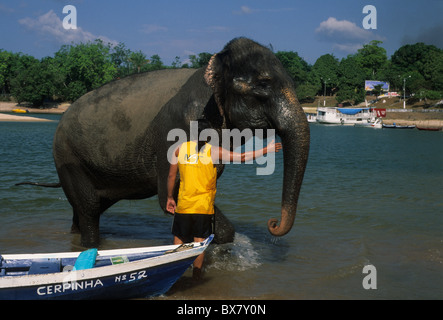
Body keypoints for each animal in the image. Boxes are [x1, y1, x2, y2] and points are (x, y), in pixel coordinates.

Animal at [21, 37, 312, 248]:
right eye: (263, 84)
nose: (272, 223)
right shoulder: (175, 130)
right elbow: (170, 194)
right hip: (67, 156)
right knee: (90, 209)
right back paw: (91, 246)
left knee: (86, 209)